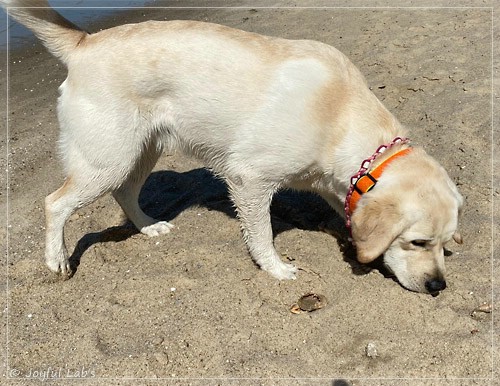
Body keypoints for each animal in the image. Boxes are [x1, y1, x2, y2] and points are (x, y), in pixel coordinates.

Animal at [4, 0, 464, 294]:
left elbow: (346, 211)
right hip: (107, 159)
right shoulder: (250, 179)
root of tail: (84, 42)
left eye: (445, 244)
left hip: (140, 152)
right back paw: (57, 260)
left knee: (125, 193)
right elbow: (261, 234)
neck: (341, 114)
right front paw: (276, 269)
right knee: (55, 203)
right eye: (418, 242)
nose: (438, 286)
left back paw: (148, 226)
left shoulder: (335, 184)